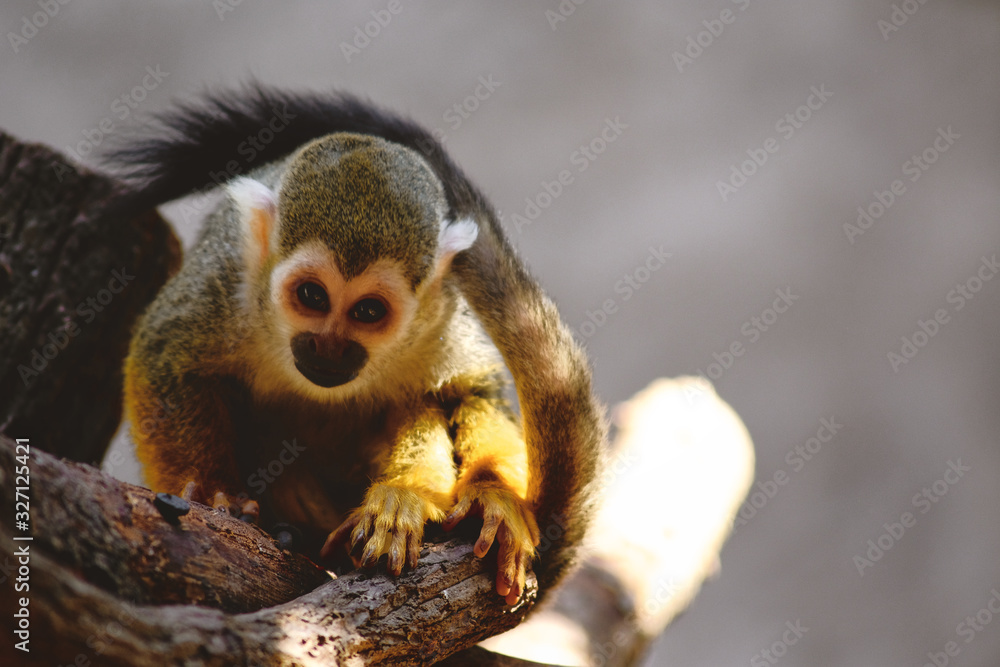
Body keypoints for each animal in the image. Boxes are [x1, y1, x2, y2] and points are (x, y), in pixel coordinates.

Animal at [108, 84, 607, 605]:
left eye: (368, 311)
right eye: (312, 296)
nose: (328, 350)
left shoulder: (440, 315)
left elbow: (472, 390)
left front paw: (494, 495)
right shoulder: (228, 282)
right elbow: (165, 354)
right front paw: (209, 491)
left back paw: (403, 499)